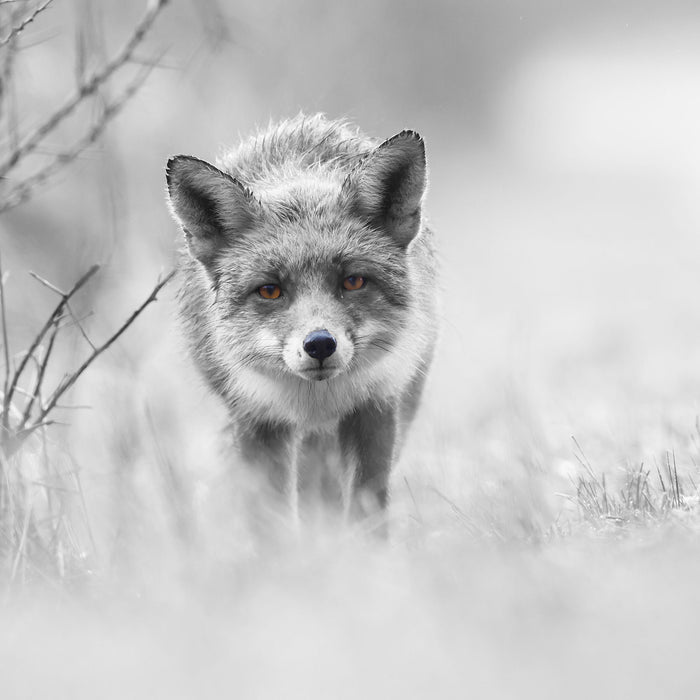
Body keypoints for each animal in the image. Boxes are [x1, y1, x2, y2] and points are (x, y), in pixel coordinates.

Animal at [165, 115, 438, 528]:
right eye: (269, 290)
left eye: (353, 281)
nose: (320, 344)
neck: (316, 401)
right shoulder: (256, 419)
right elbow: (270, 522)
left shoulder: (375, 407)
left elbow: (366, 511)